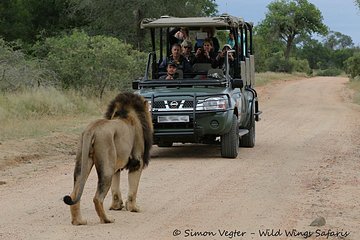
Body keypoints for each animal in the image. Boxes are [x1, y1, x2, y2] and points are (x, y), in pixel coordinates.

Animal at [63, 92, 153, 225]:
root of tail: (92, 129)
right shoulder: (137, 162)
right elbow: (133, 189)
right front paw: (133, 208)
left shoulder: (116, 167)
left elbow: (115, 189)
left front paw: (117, 206)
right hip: (106, 168)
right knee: (97, 198)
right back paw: (107, 219)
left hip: (83, 163)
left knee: (74, 194)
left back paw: (78, 221)